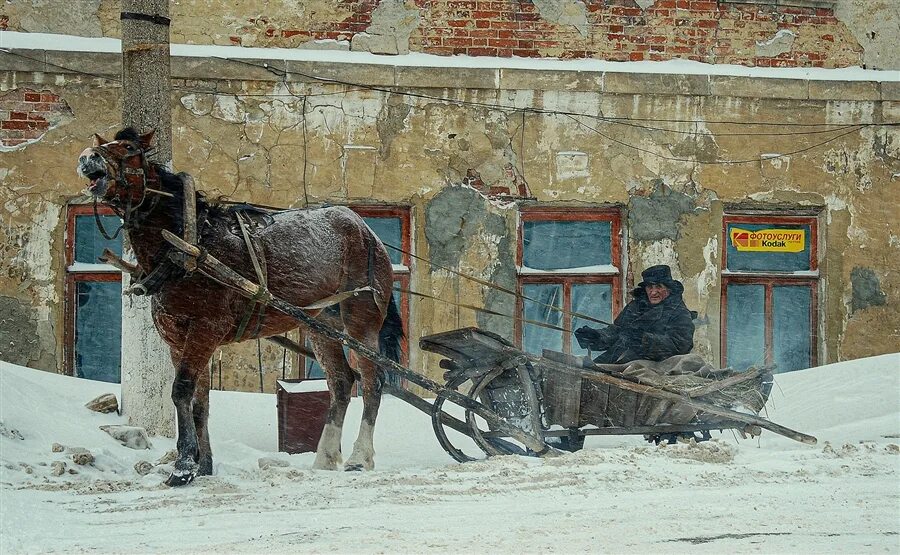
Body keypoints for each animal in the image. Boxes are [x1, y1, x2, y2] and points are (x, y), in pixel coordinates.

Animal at [76, 128, 400, 484]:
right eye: (105, 144)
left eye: (128, 147)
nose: (87, 157)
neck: (189, 246)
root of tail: (367, 230)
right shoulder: (178, 339)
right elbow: (200, 402)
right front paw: (203, 466)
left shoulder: (205, 329)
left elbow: (181, 391)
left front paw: (184, 466)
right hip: (321, 324)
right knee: (341, 382)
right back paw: (325, 459)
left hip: (361, 318)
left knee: (372, 381)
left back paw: (360, 457)